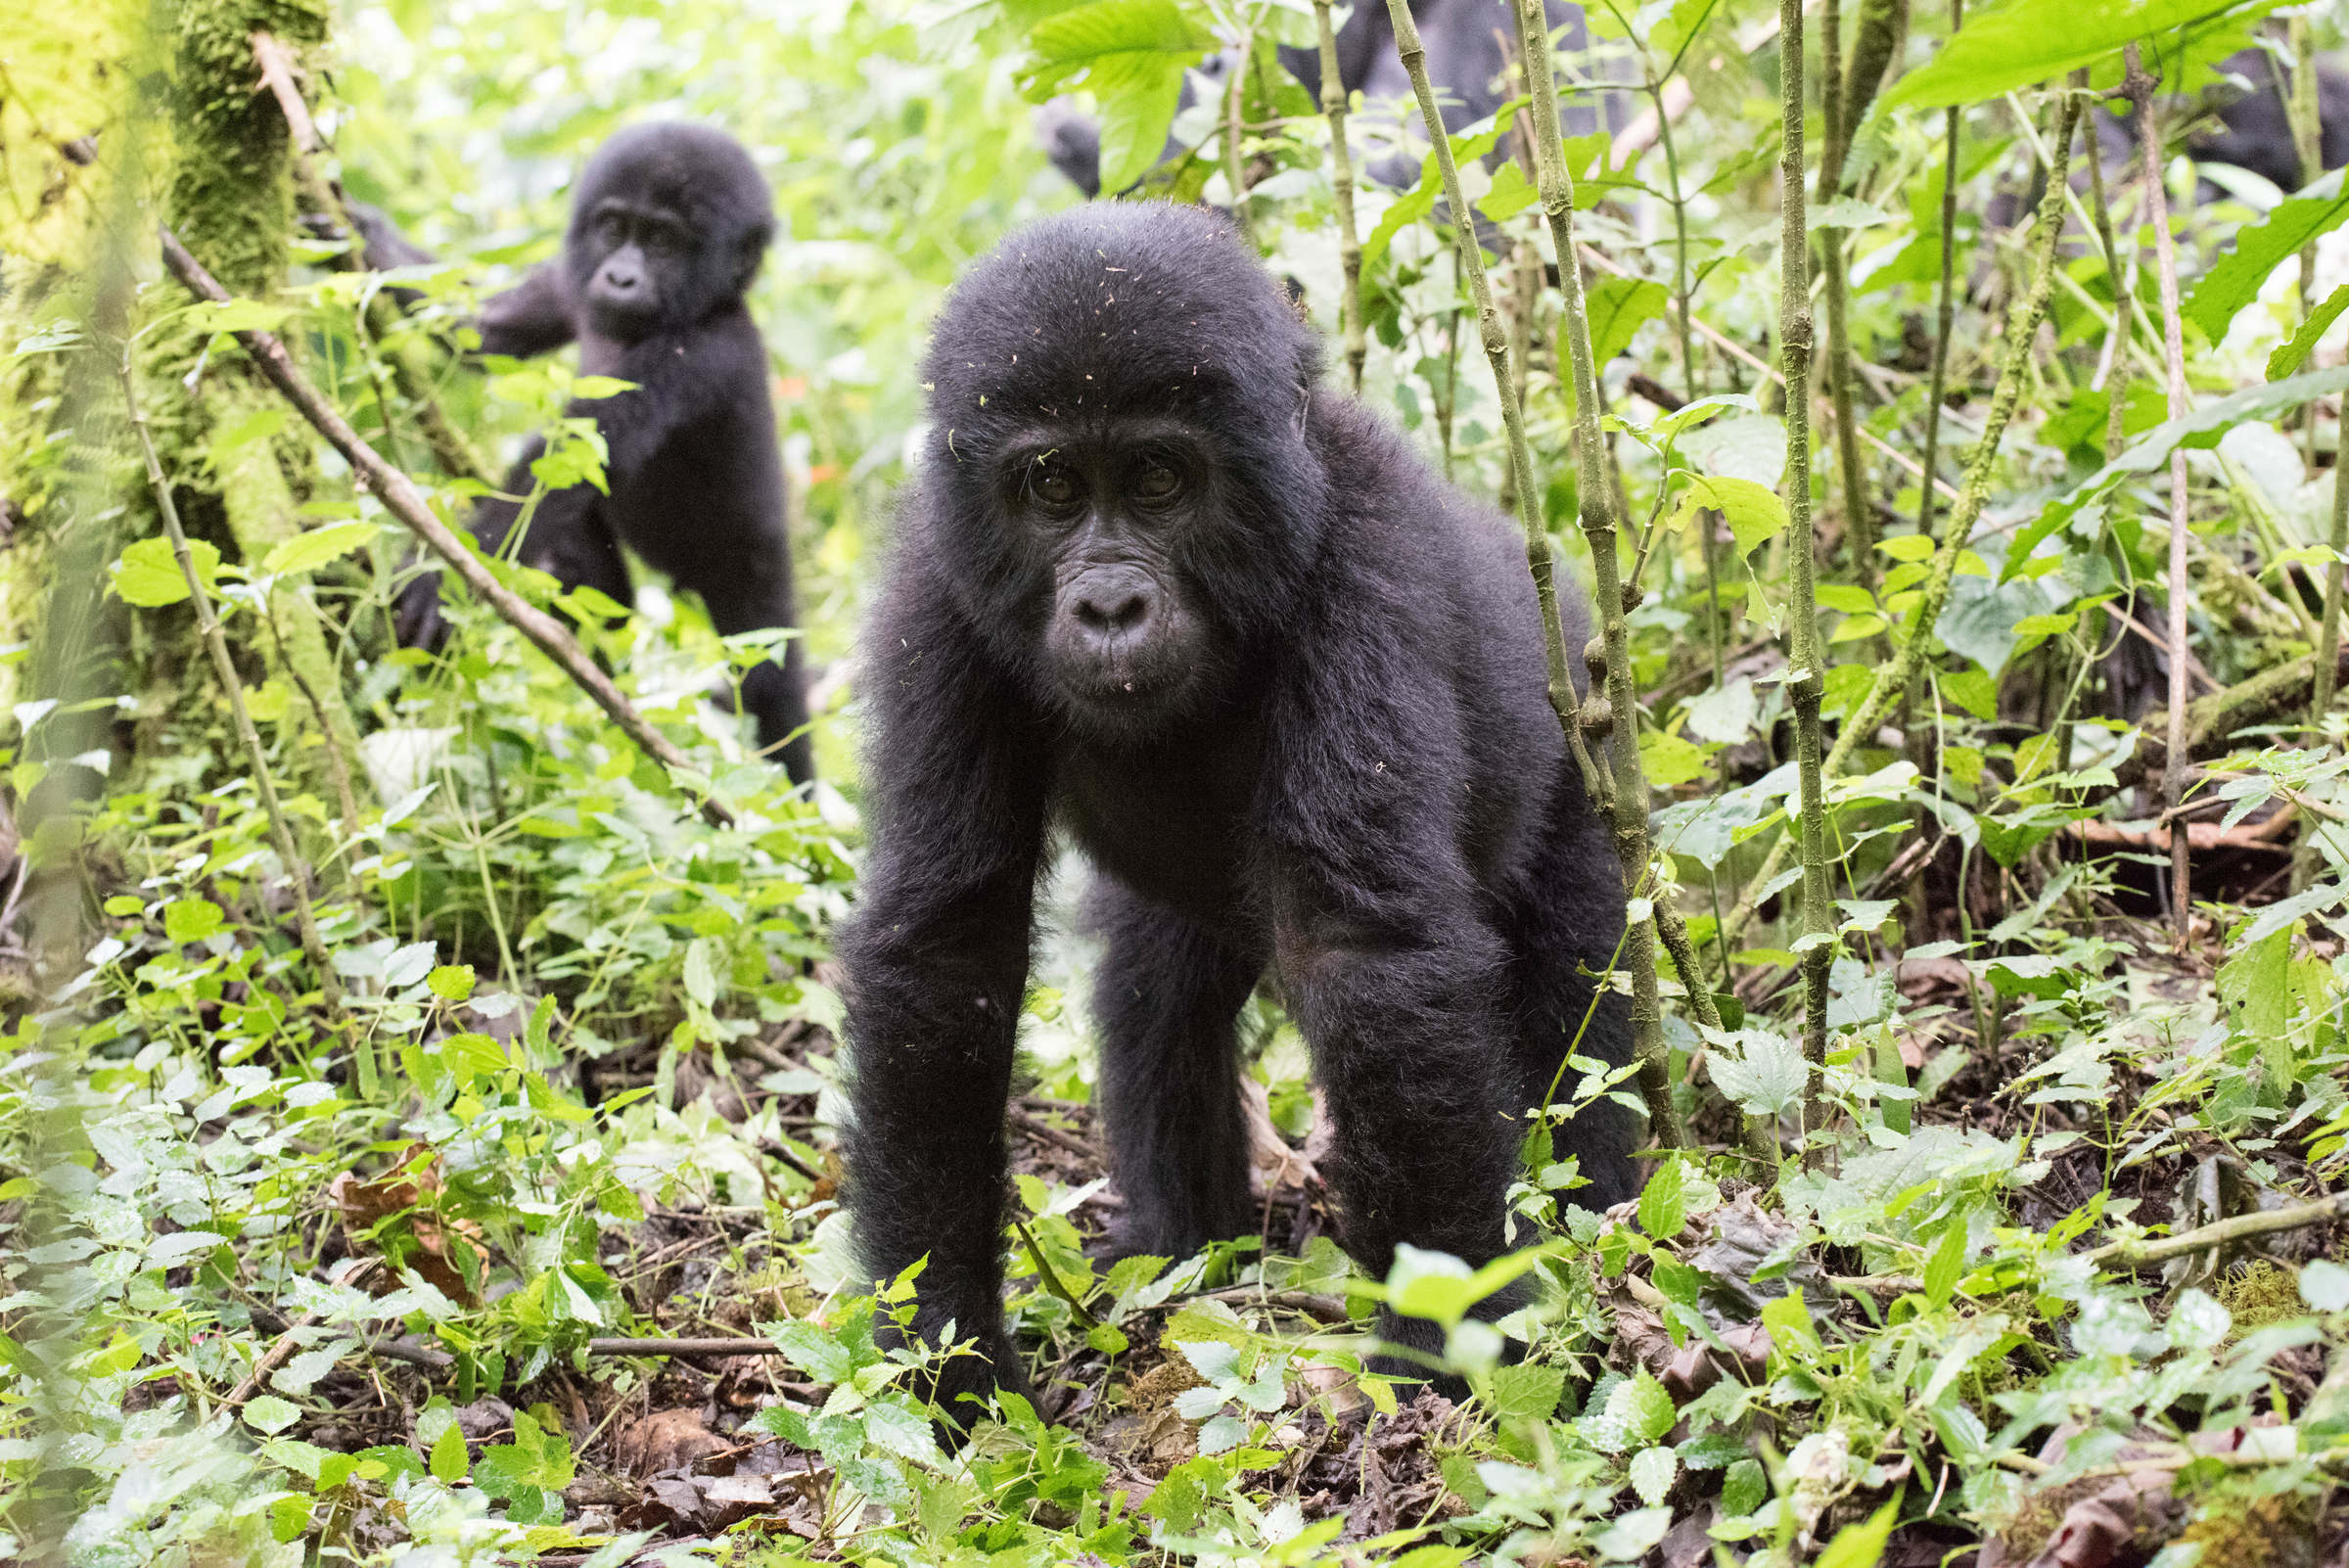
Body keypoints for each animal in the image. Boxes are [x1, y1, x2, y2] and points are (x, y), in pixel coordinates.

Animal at [364, 123, 807, 784]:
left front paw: (440, 573)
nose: (621, 278)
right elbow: (481, 329)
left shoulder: (700, 356)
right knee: (600, 588)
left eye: (664, 242)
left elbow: (570, 454)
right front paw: (359, 231)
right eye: (615, 229)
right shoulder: (569, 287)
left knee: (768, 685)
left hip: (754, 573)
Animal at [841, 199, 1635, 1417]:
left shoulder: (1369, 576)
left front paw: (1444, 1346)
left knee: (1578, 995)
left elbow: (1368, 958)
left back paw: (1603, 1215)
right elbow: (946, 952)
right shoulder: (940, 591)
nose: (1110, 606)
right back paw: (1180, 1239)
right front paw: (948, 1351)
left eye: (1161, 479)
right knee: (1160, 982)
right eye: (1052, 486)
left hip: (1580, 751)